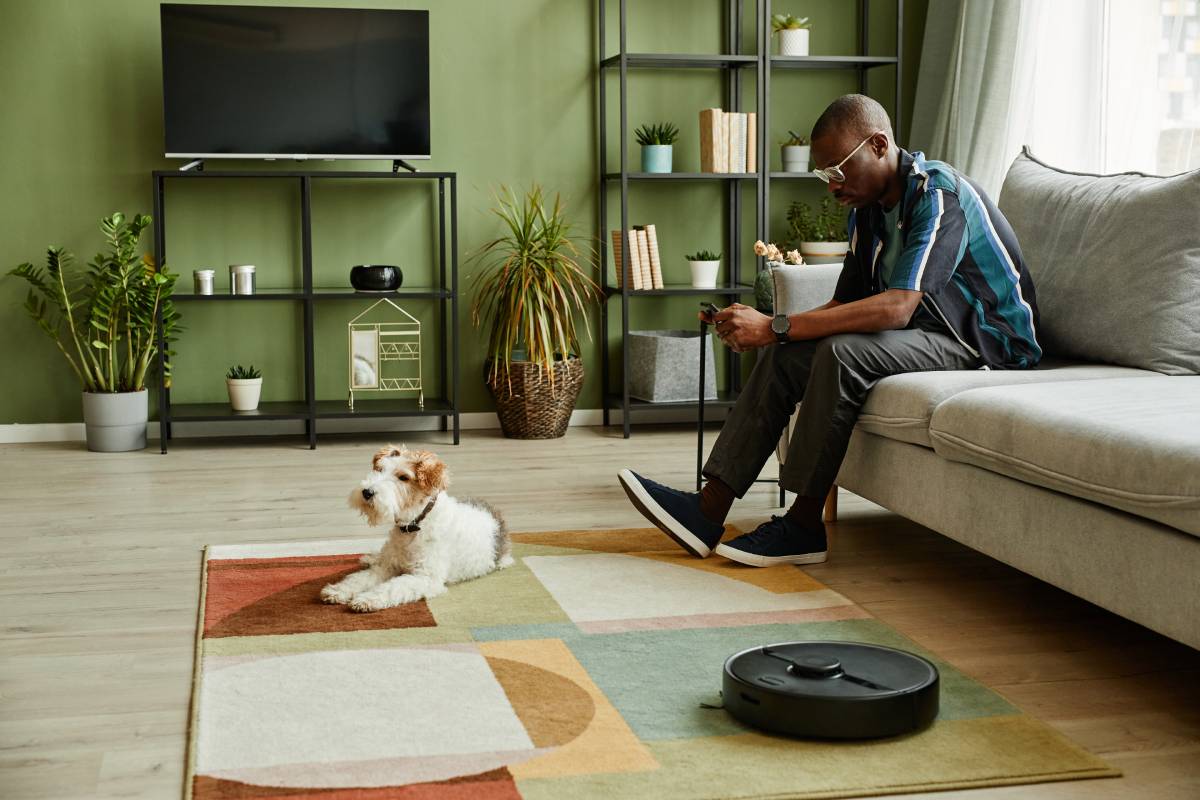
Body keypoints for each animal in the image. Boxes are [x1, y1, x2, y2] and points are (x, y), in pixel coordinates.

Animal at [319, 443, 511, 614]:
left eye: (404, 477)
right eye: (379, 469)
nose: (367, 492)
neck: (414, 525)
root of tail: (494, 513)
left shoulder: (425, 577)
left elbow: (392, 587)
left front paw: (366, 600)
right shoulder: (388, 566)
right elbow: (360, 578)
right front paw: (337, 590)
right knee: (377, 559)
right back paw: (369, 558)